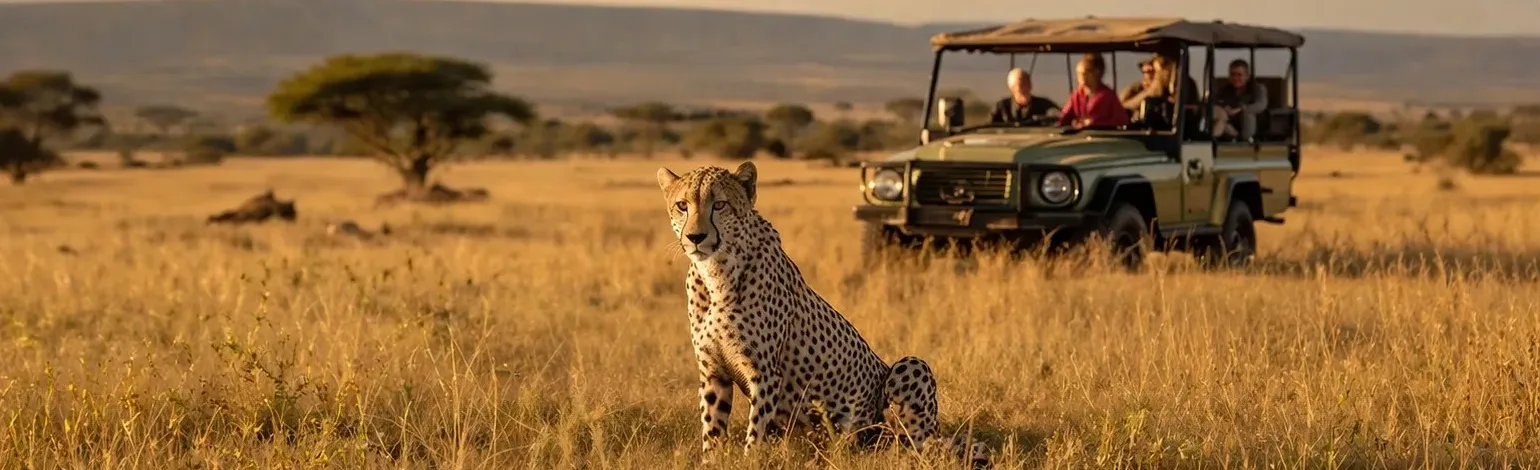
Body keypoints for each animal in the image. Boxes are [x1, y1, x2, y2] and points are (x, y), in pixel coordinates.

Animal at [654, 161, 990, 467]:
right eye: (682, 206)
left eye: (719, 205)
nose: (695, 237)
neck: (715, 272)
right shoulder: (714, 372)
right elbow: (712, 429)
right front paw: (710, 460)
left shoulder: (765, 374)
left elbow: (756, 430)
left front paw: (750, 459)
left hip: (908, 375)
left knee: (921, 445)